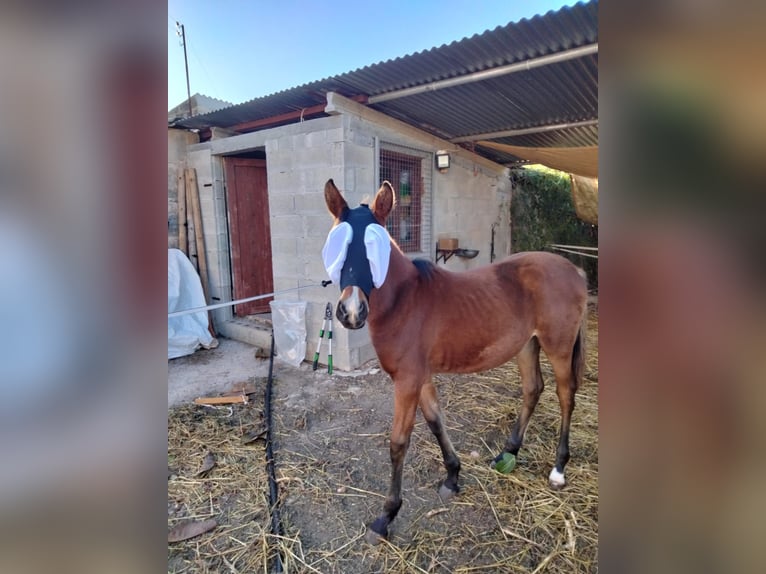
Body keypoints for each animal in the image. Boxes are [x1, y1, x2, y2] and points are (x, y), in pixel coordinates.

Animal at [322, 179, 588, 544]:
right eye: (339, 245)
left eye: (374, 247)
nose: (351, 312)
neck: (405, 300)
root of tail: (574, 270)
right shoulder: (421, 378)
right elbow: (436, 422)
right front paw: (452, 477)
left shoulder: (407, 380)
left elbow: (398, 442)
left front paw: (386, 517)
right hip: (526, 345)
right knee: (534, 389)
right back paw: (508, 453)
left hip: (558, 347)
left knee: (566, 396)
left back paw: (559, 469)